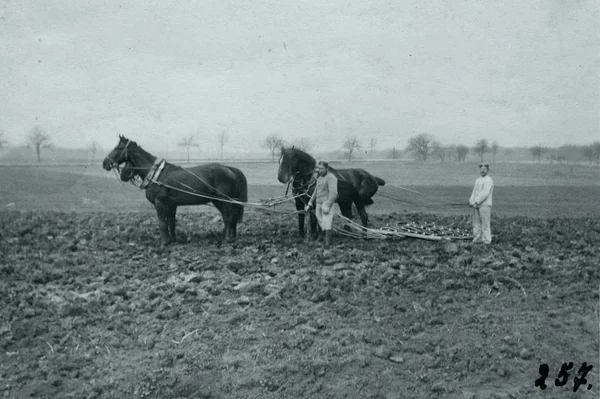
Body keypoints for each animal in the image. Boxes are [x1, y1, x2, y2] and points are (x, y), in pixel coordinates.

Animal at [102, 136, 247, 245]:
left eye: (117, 148)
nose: (105, 163)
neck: (157, 175)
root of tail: (228, 168)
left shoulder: (160, 203)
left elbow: (162, 223)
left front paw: (165, 242)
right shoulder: (171, 204)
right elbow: (171, 222)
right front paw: (173, 240)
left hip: (222, 200)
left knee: (229, 217)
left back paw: (228, 239)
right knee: (231, 217)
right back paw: (231, 237)